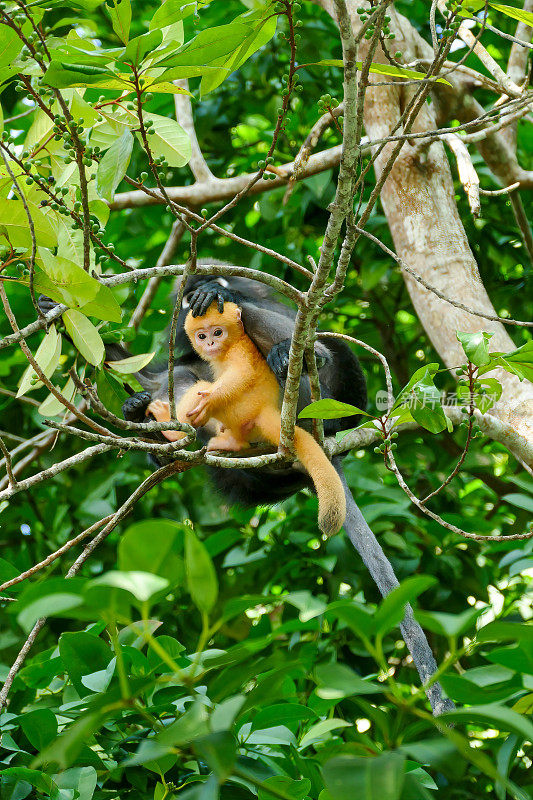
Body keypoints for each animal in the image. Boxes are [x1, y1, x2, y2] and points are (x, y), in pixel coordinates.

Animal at [149, 304, 344, 536]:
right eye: (202, 335)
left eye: (218, 332)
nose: (210, 343)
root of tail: (265, 411)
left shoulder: (239, 351)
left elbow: (242, 372)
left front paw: (209, 400)